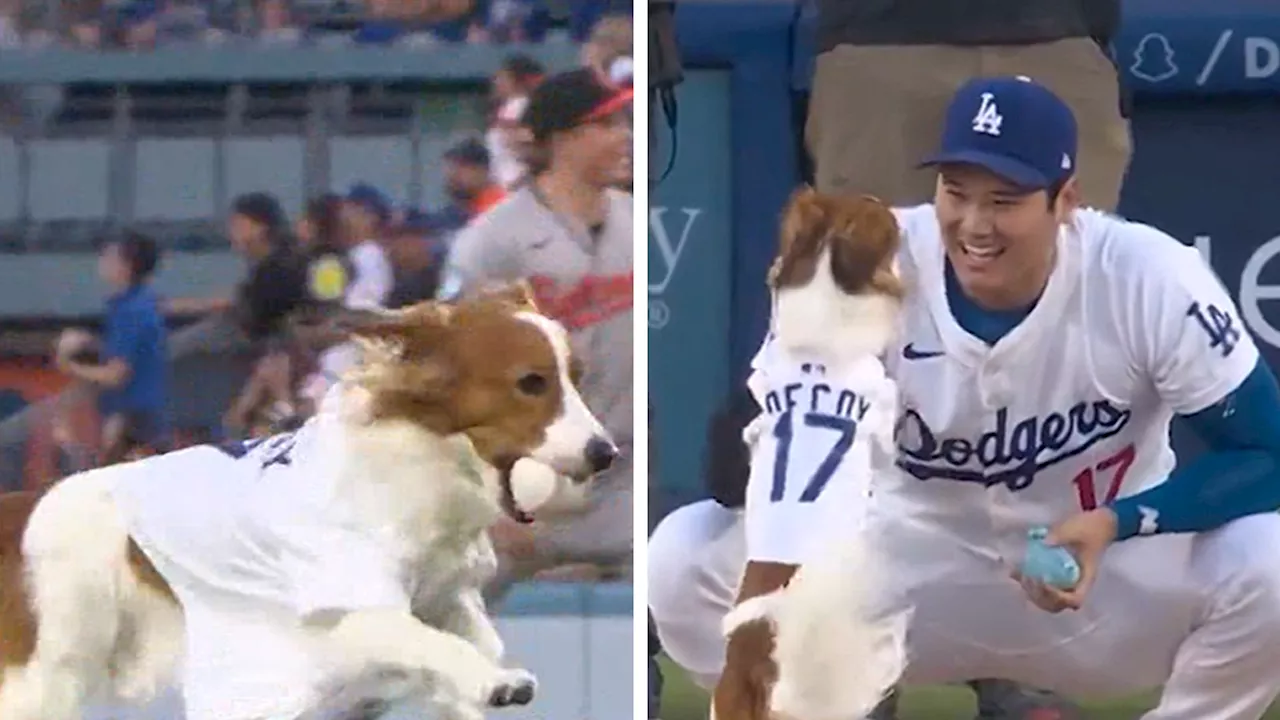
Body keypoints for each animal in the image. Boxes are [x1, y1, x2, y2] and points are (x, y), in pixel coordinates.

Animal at [0, 281, 614, 717]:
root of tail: (22, 508)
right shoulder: (348, 616)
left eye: (575, 376)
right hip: (52, 672)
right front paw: (490, 682)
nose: (606, 452)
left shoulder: (445, 595)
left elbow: (473, 637)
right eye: (531, 382)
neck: (418, 467)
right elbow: (432, 644)